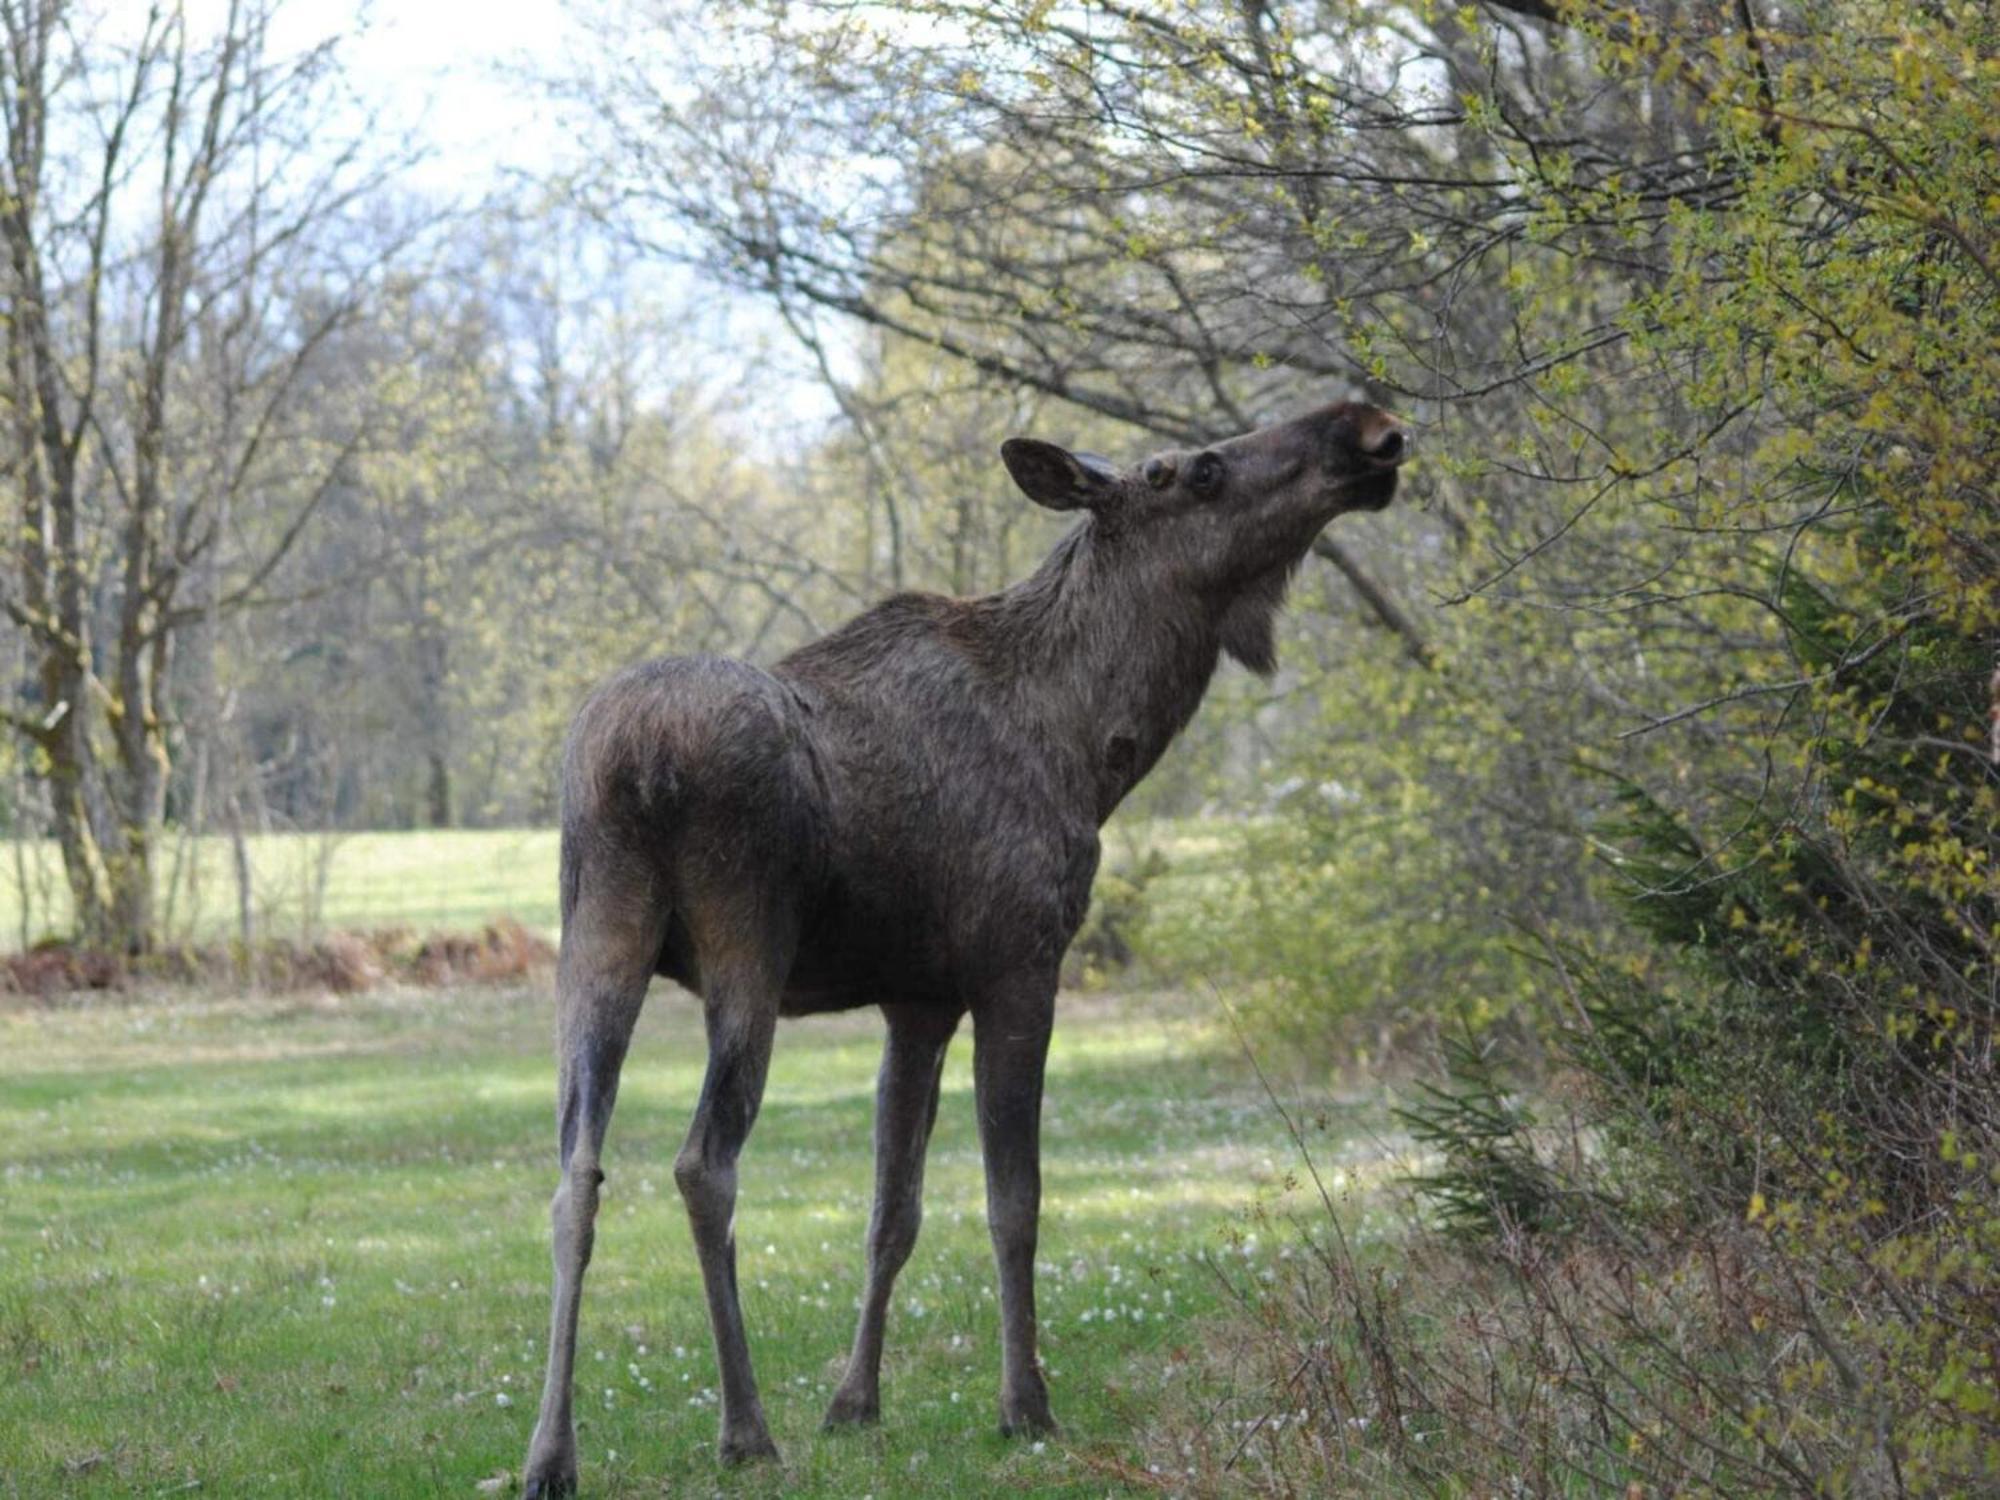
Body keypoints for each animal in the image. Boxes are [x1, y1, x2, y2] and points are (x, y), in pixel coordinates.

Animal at [524, 396, 1416, 1496]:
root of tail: (638, 761)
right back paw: (744, 1428)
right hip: (747, 947)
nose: (1364, 427)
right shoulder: (1018, 965)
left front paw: (853, 1404)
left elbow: (892, 1212)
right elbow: (1012, 1202)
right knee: (702, 1165)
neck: (1096, 746)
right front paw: (1024, 1404)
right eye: (1197, 470)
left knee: (575, 1175)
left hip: (595, 936)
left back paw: (550, 1453)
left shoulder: (917, 1000)